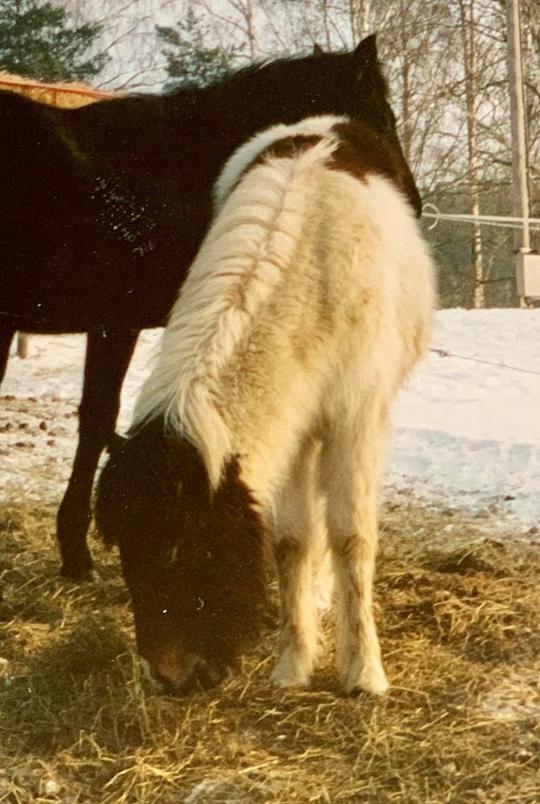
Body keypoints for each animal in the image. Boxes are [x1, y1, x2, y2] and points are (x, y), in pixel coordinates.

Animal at [0, 34, 422, 582]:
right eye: (385, 115)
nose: (414, 202)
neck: (177, 166)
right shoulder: (117, 323)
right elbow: (97, 420)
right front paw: (77, 550)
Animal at [95, 68, 435, 693]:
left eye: (189, 548)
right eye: (129, 550)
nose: (170, 678)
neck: (316, 275)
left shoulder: (355, 421)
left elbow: (352, 537)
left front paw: (364, 674)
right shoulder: (294, 427)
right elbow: (291, 542)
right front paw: (292, 665)